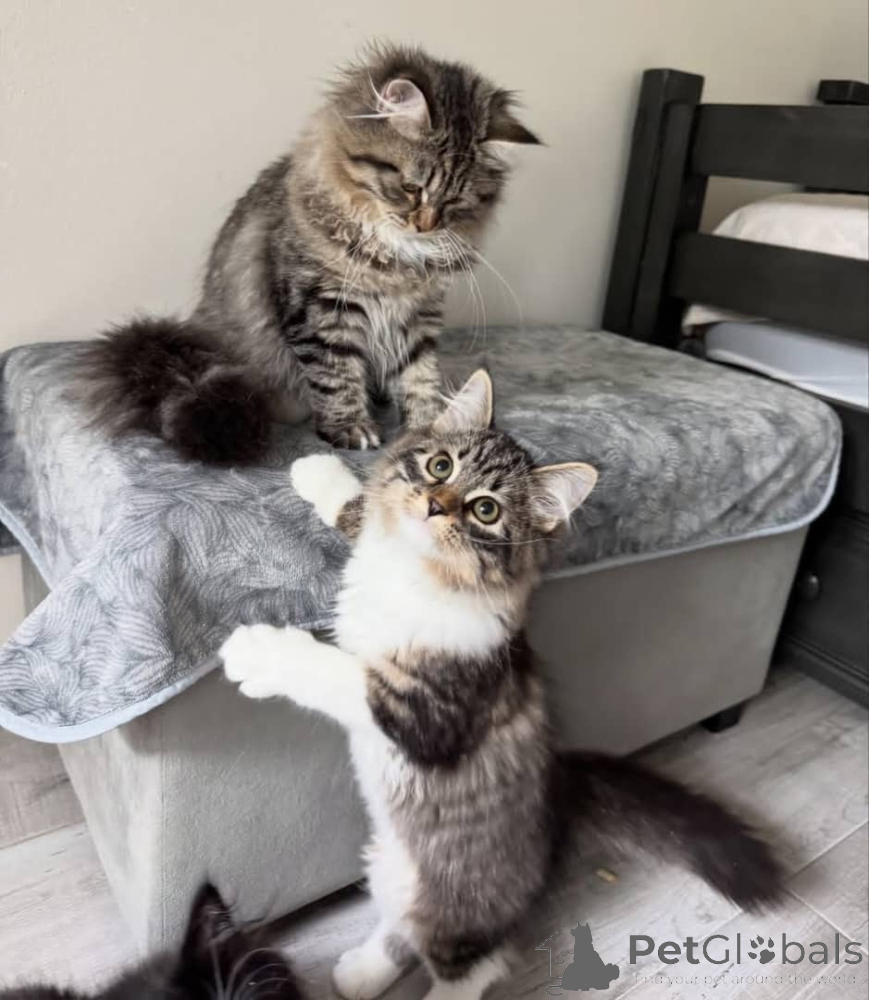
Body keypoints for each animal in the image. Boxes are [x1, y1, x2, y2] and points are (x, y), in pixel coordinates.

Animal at [73, 45, 539, 465]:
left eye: (454, 201)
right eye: (411, 188)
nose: (425, 225)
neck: (394, 257)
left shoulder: (416, 316)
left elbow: (419, 376)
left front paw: (430, 426)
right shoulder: (322, 310)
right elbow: (336, 376)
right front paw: (351, 429)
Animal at [220, 370, 785, 1000]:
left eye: (484, 510)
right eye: (440, 466)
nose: (434, 506)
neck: (415, 575)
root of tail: (558, 798)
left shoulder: (429, 712)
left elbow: (337, 671)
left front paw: (255, 652)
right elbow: (360, 509)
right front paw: (318, 469)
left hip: (453, 905)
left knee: (476, 964)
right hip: (390, 868)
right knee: (401, 932)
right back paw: (358, 975)